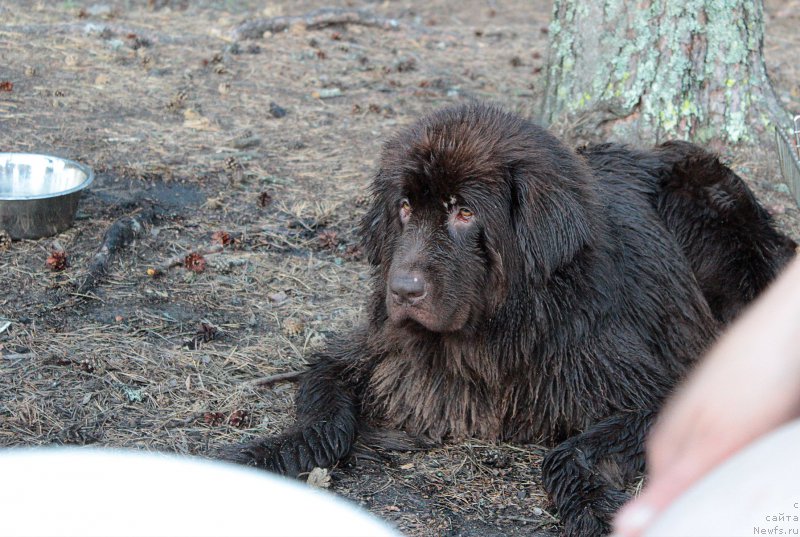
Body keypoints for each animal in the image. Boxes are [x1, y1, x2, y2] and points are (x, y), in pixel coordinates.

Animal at [220, 102, 792, 532]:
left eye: (464, 212)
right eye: (404, 208)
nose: (401, 291)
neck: (497, 332)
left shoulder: (657, 390)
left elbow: (569, 454)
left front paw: (594, 510)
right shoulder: (363, 354)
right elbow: (320, 416)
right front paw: (260, 457)